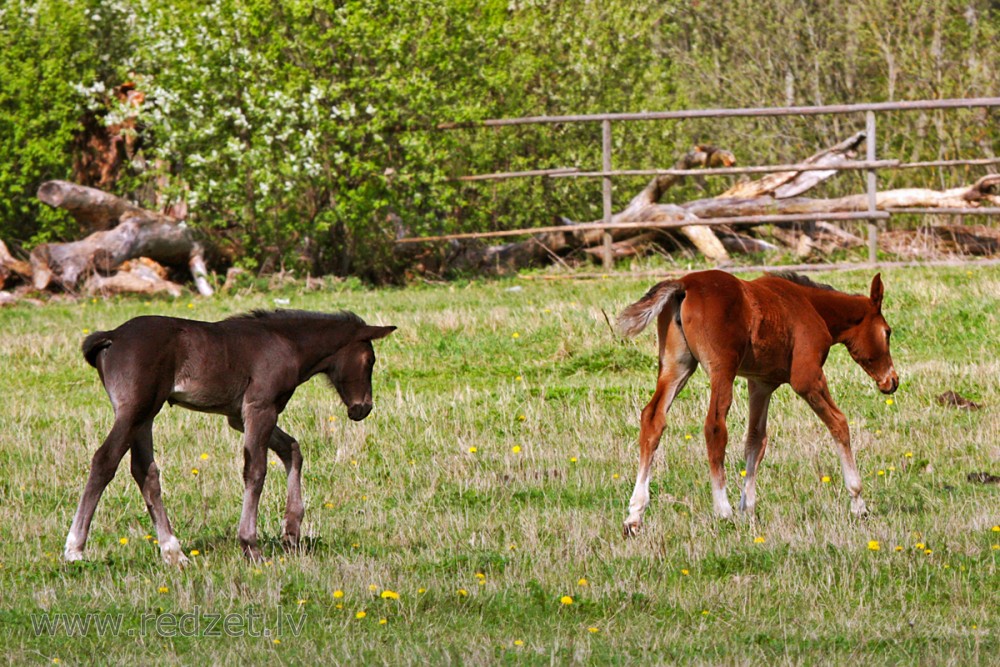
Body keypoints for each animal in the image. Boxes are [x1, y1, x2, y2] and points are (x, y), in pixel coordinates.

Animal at [63, 312, 394, 564]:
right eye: (370, 360)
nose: (362, 408)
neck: (287, 343)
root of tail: (112, 336)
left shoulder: (240, 417)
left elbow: (292, 450)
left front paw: (291, 531)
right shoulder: (260, 408)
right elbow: (256, 471)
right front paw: (250, 545)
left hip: (144, 417)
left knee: (145, 472)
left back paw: (173, 552)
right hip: (135, 410)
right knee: (105, 460)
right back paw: (75, 549)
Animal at [616, 268, 900, 536]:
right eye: (887, 332)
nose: (892, 381)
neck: (811, 306)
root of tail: (684, 284)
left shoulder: (761, 384)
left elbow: (755, 441)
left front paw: (748, 511)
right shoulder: (806, 377)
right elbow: (839, 423)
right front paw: (858, 503)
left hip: (677, 366)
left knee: (653, 419)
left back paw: (634, 516)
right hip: (722, 368)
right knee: (714, 427)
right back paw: (723, 511)